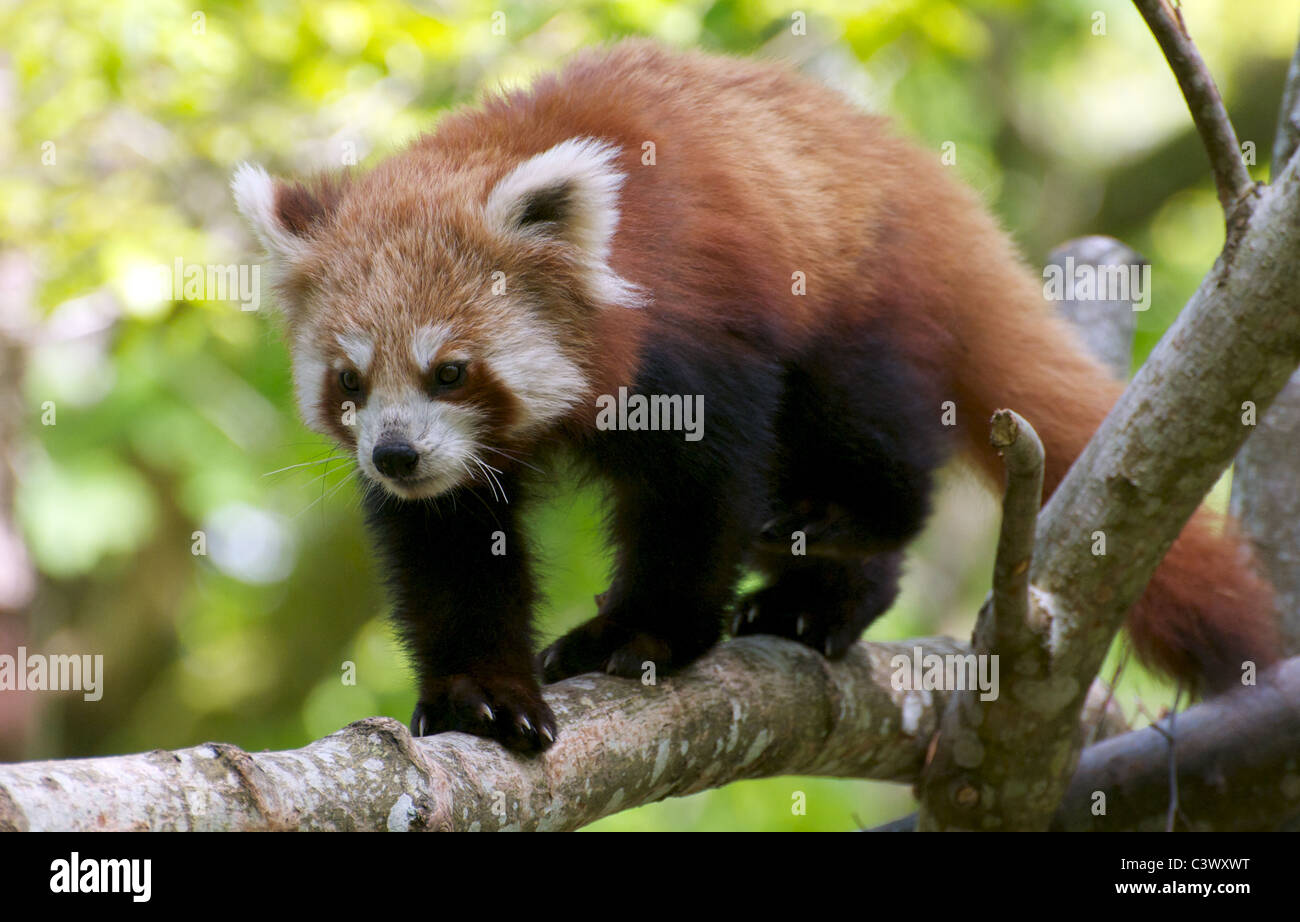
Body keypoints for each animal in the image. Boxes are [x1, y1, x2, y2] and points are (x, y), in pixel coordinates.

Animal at [233, 39, 1279, 754]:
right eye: (350, 382)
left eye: (450, 369)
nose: (395, 455)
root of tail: (923, 180)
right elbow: (450, 546)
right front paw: (480, 692)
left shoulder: (694, 330)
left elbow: (695, 496)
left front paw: (640, 633)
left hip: (861, 300)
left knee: (868, 444)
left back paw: (834, 552)